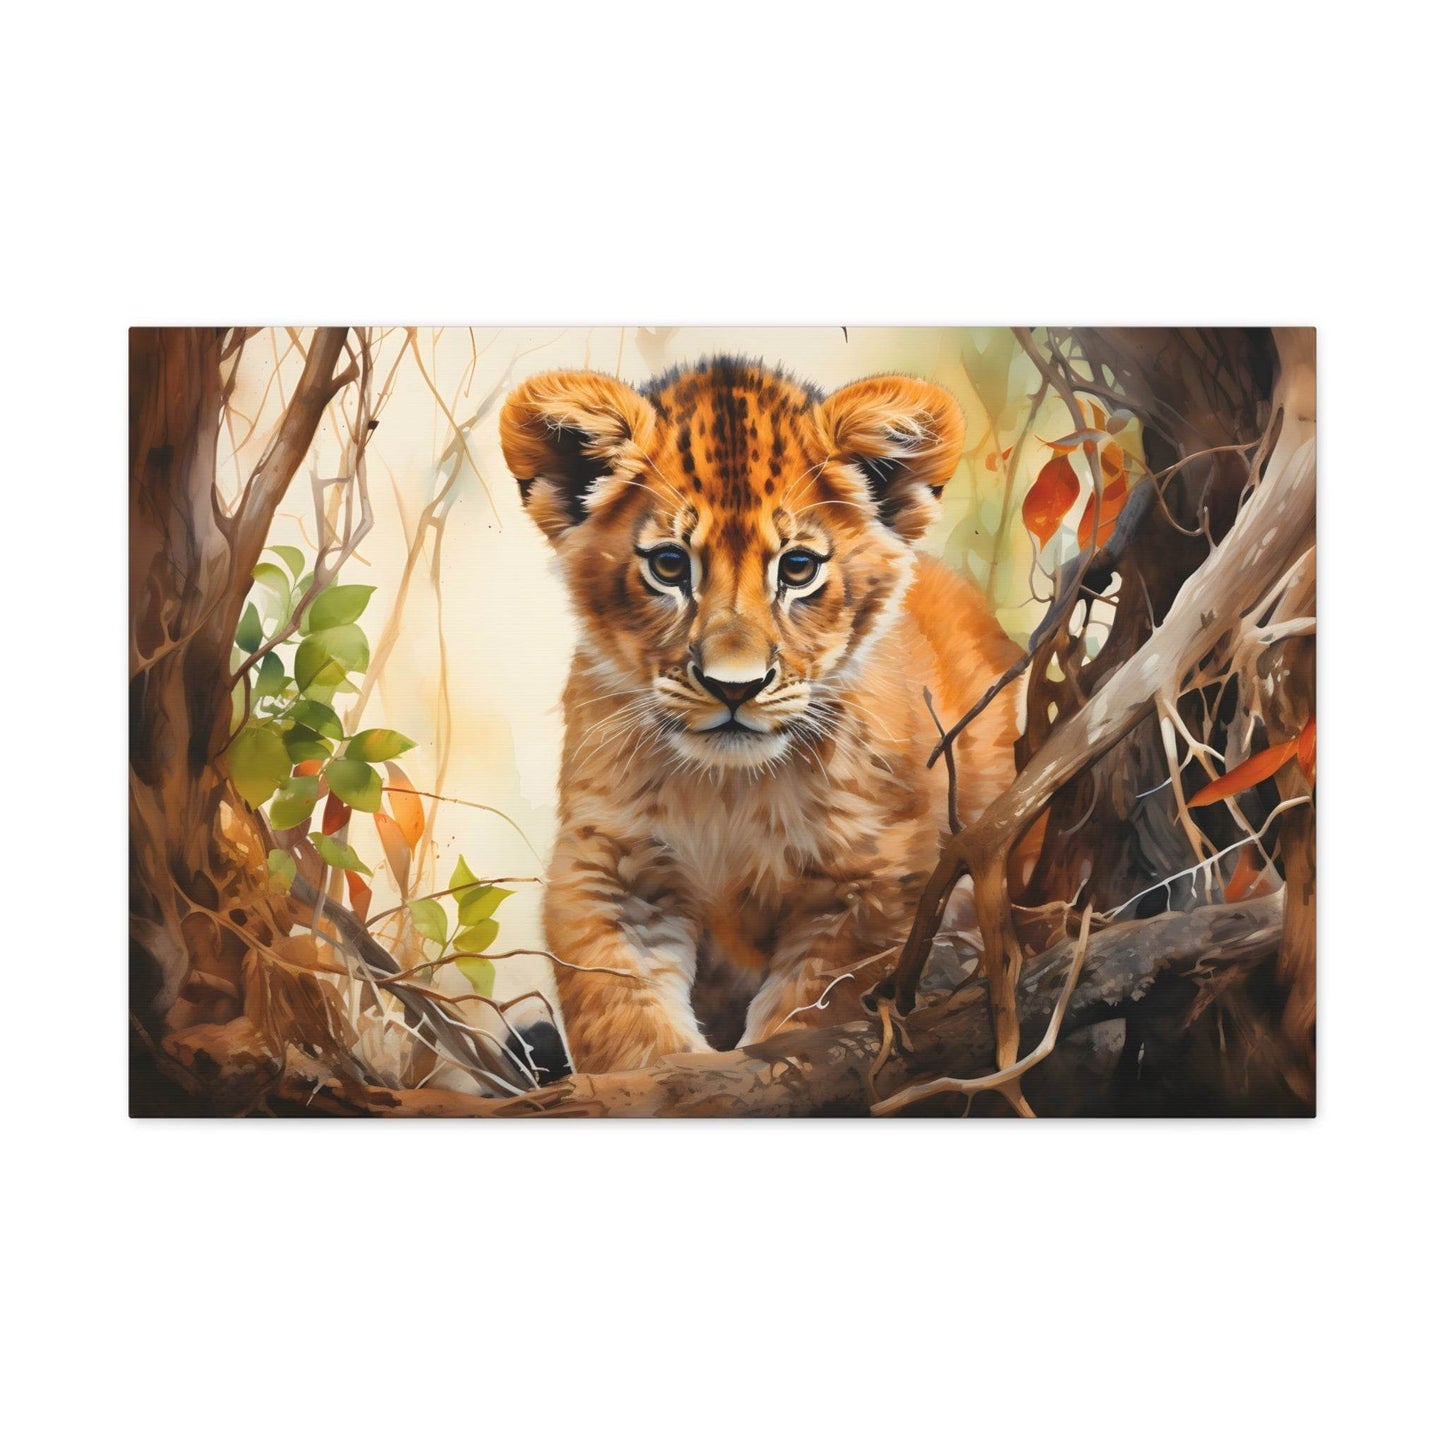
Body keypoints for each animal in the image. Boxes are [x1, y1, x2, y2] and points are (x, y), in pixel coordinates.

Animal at [499, 356, 1024, 1074]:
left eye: (797, 568)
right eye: (669, 565)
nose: (734, 688)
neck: (730, 792)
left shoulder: (873, 882)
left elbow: (814, 1013)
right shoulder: (610, 868)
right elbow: (623, 1018)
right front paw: (669, 1074)